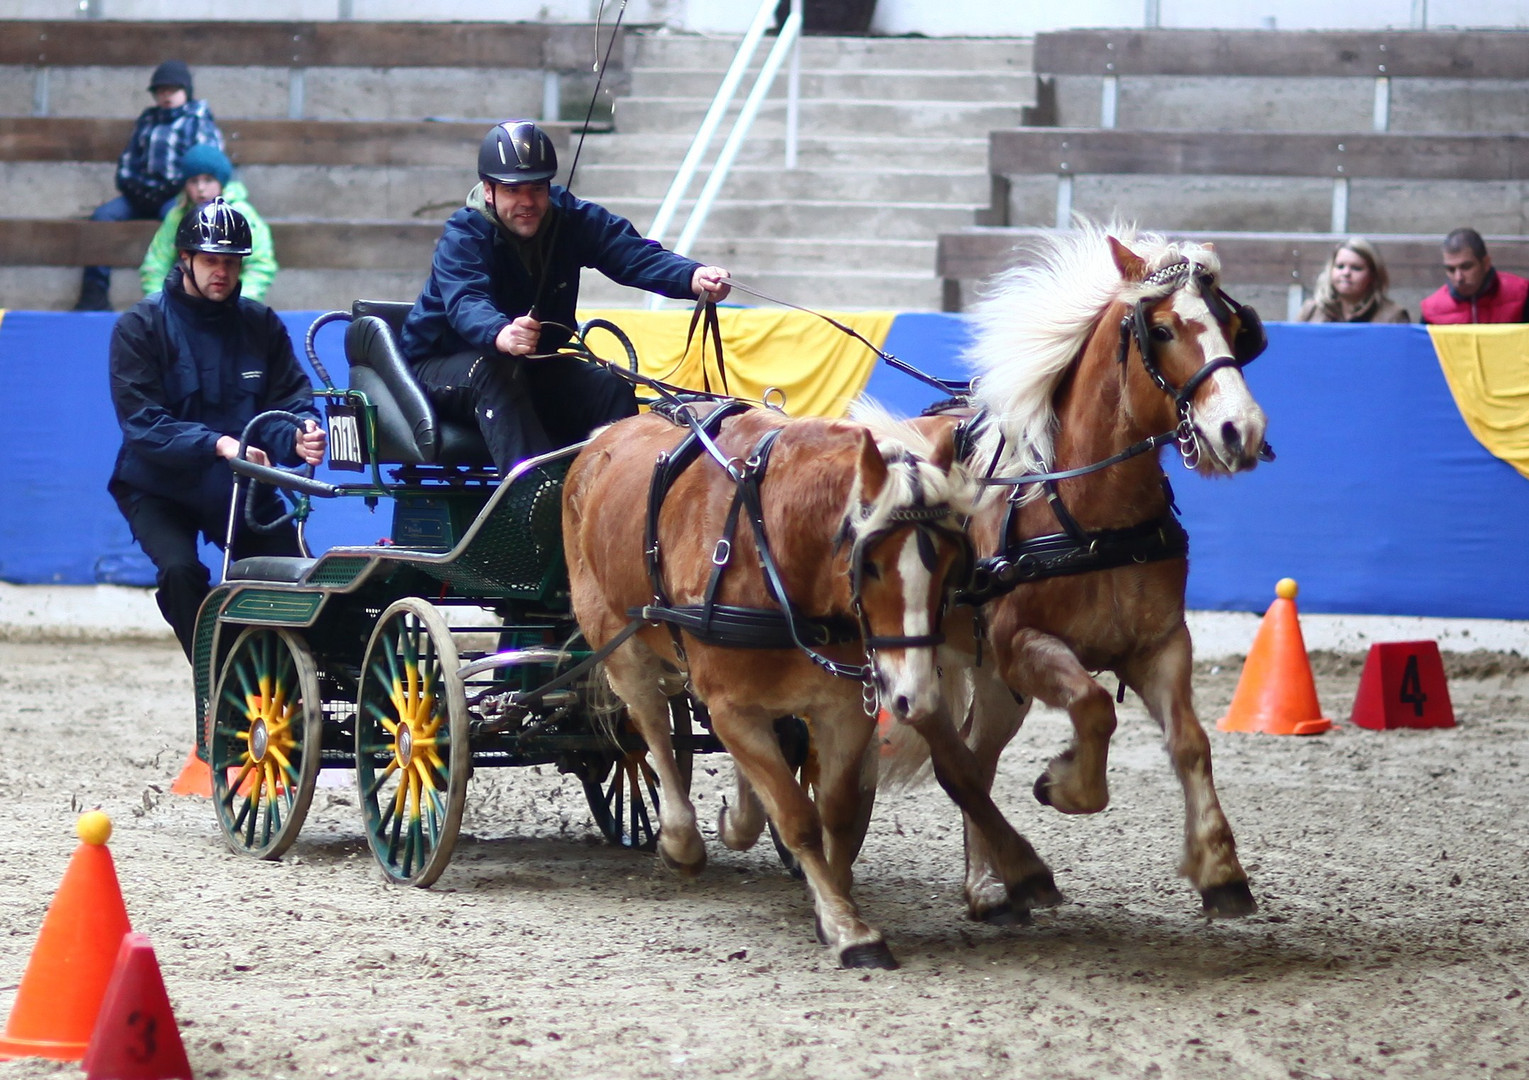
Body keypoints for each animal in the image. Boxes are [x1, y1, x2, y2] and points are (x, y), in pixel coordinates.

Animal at [562, 406, 1003, 966]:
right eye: (871, 564)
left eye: (950, 565)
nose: (914, 696)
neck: (773, 553)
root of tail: (606, 435)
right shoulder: (731, 707)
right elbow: (798, 817)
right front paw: (849, 930)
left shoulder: (844, 710)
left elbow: (835, 811)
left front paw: (833, 904)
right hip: (619, 643)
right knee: (651, 729)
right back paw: (680, 838)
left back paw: (739, 819)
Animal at [886, 223, 1266, 923]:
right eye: (1162, 330)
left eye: (1234, 325)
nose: (1241, 430)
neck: (1090, 514)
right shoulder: (1020, 644)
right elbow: (1092, 707)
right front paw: (1062, 783)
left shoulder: (1159, 644)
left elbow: (1191, 741)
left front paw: (1220, 868)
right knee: (952, 762)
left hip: (994, 680)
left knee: (974, 762)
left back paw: (990, 883)